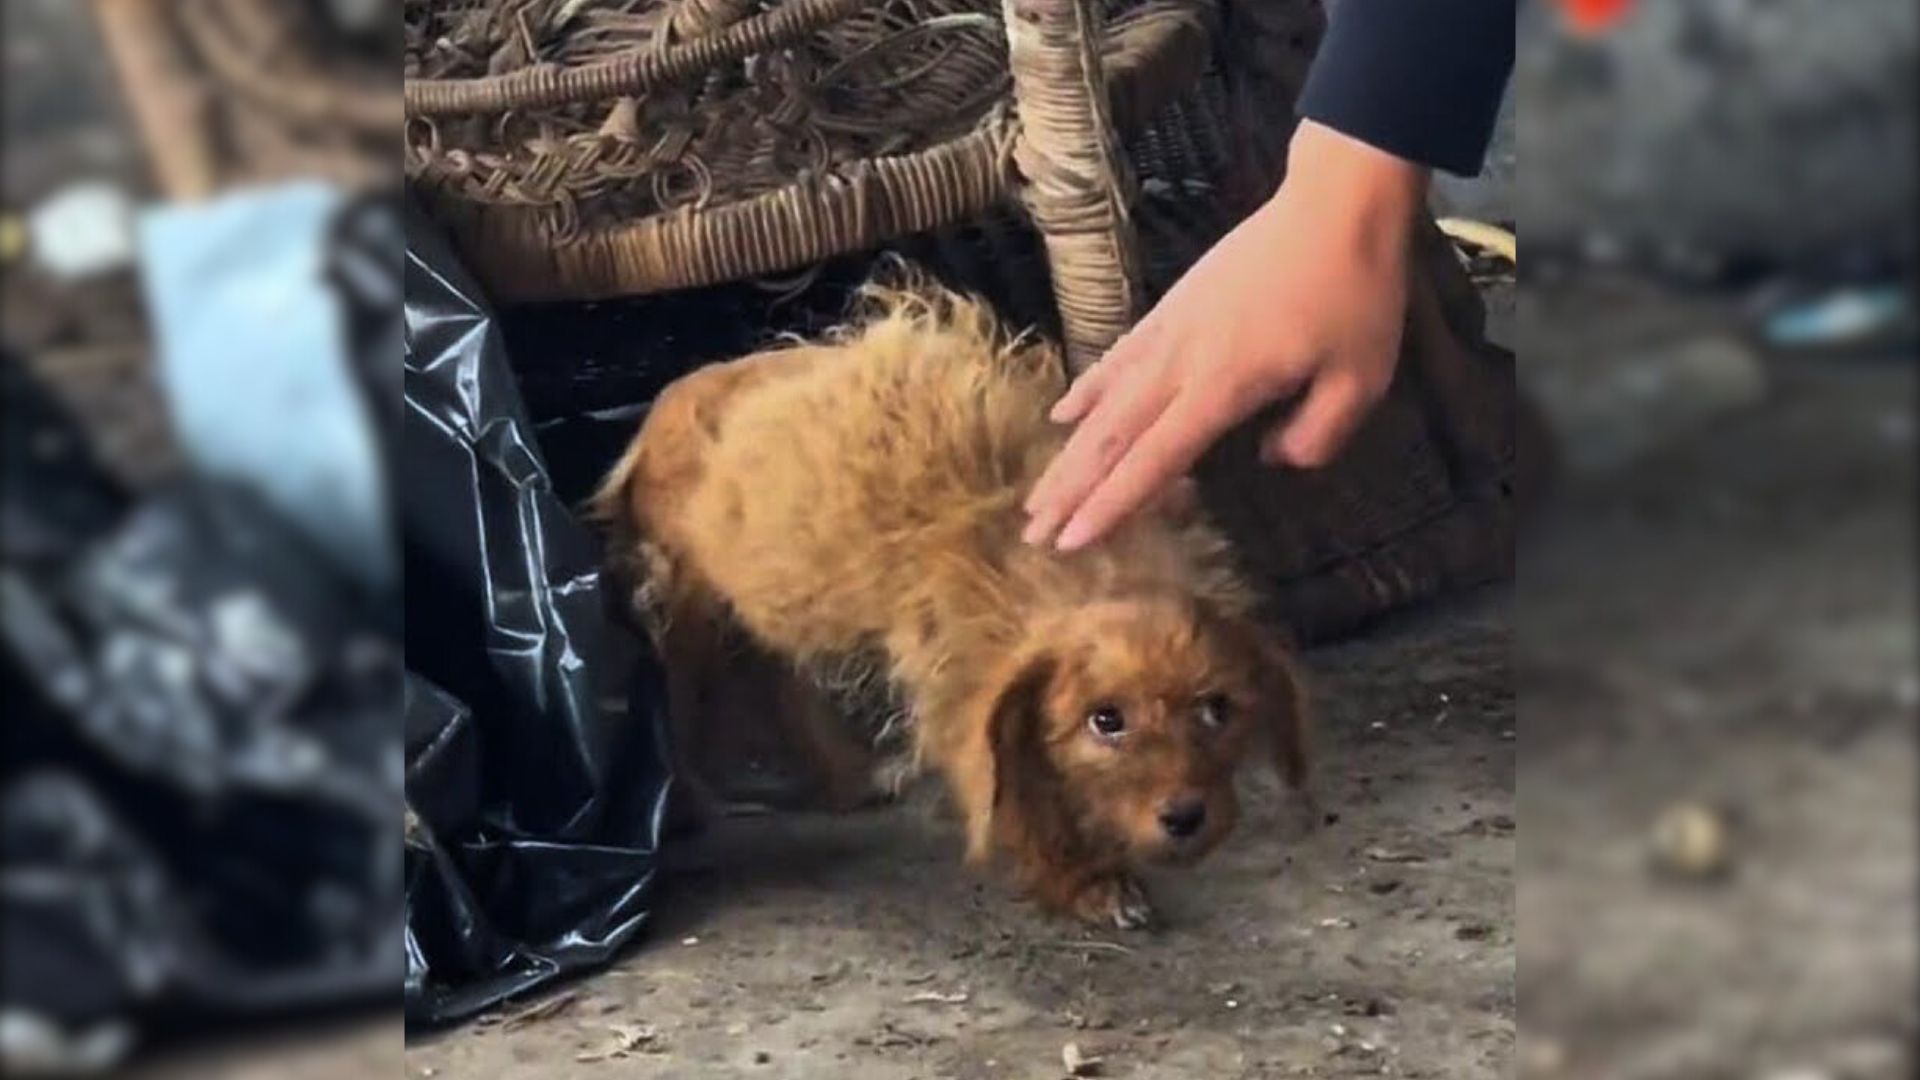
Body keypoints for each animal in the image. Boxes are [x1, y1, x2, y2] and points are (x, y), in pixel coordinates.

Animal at [591, 278, 1305, 926]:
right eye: (1106, 721)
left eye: (1217, 710)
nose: (1186, 817)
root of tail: (664, 404)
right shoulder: (963, 680)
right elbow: (1017, 796)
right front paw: (1085, 882)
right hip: (689, 604)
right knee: (679, 697)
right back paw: (686, 806)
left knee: (780, 676)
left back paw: (846, 777)